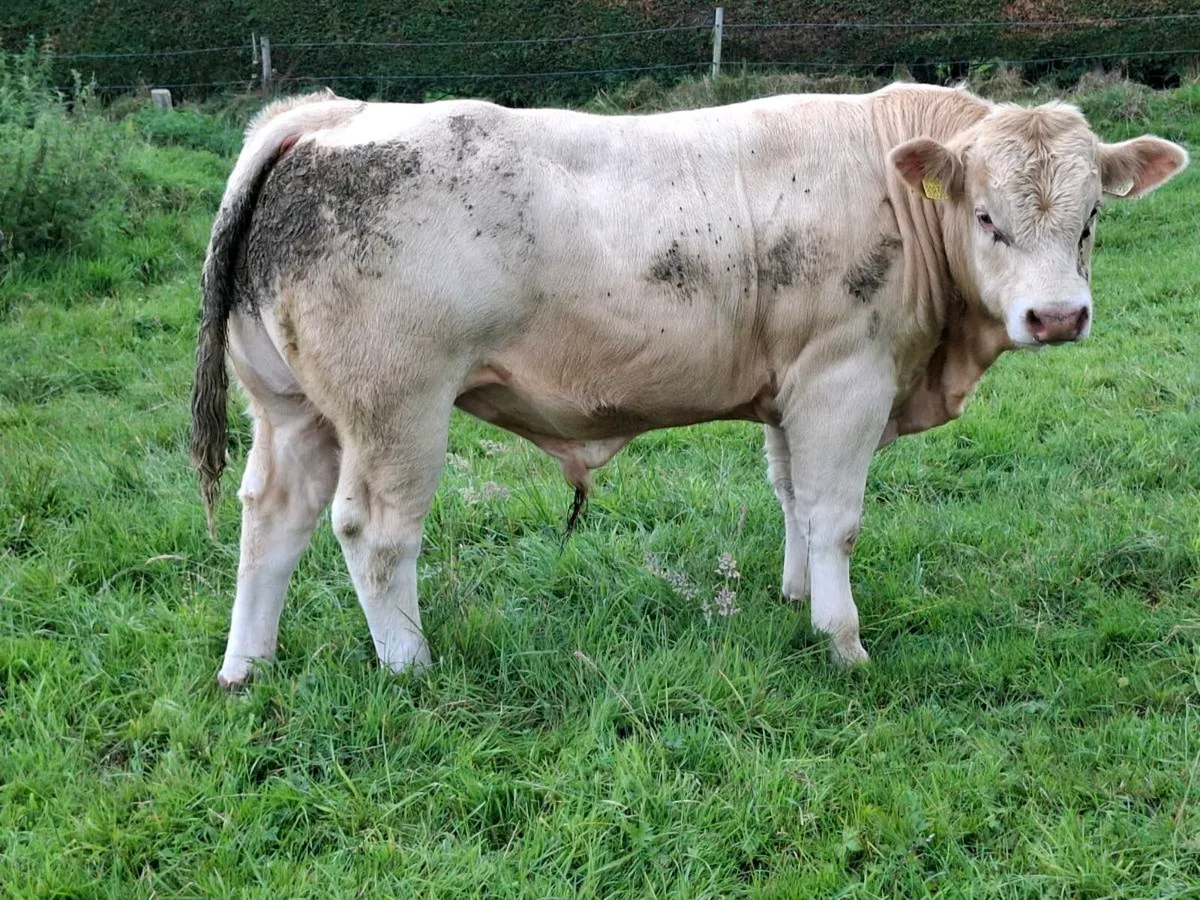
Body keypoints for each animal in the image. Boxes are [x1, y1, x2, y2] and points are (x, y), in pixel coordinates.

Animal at [191, 84, 1187, 687]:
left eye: (1090, 219)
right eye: (986, 217)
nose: (1056, 316)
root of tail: (328, 116)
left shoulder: (791, 385)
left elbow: (792, 497)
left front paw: (795, 600)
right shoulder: (845, 378)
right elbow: (836, 515)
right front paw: (844, 641)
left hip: (294, 409)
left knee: (270, 518)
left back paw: (247, 667)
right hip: (396, 406)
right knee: (375, 531)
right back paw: (409, 665)